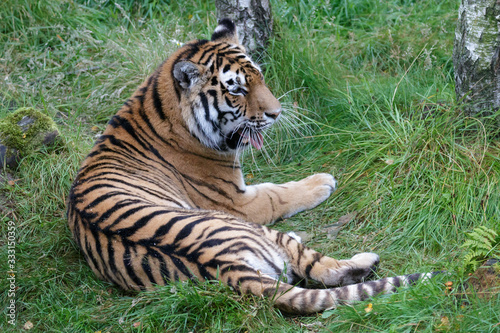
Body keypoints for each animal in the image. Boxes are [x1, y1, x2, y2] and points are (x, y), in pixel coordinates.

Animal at [67, 18, 438, 314]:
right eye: (237, 90)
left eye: (259, 77)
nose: (276, 113)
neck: (162, 107)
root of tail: (229, 268)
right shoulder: (237, 201)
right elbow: (278, 193)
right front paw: (322, 181)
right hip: (257, 229)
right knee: (321, 267)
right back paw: (364, 259)